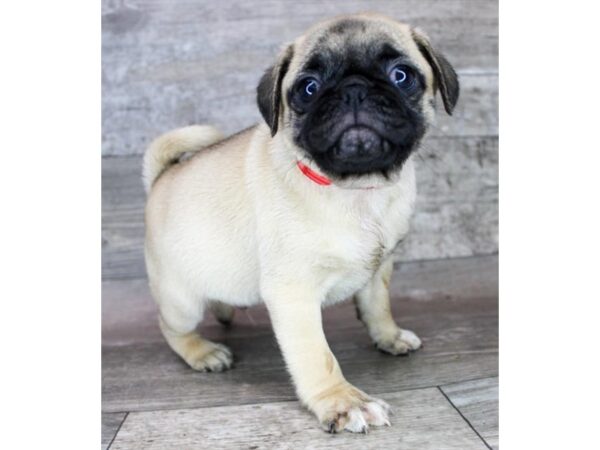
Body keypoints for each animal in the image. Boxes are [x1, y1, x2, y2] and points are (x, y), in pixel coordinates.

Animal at [142, 12, 460, 434]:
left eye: (401, 75)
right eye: (308, 88)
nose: (354, 91)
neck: (356, 190)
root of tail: (161, 177)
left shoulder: (379, 268)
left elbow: (378, 307)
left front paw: (389, 337)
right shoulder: (293, 293)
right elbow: (317, 356)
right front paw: (342, 402)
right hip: (181, 299)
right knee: (170, 326)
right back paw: (203, 351)